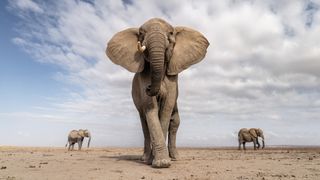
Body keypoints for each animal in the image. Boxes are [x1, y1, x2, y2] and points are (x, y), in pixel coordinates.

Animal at [106, 17, 209, 168]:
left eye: (171, 33)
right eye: (141, 33)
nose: (149, 88)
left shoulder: (173, 77)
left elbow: (166, 109)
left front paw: (162, 161)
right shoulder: (143, 76)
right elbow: (151, 108)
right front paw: (159, 162)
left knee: (175, 121)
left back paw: (174, 158)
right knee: (144, 123)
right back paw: (145, 158)